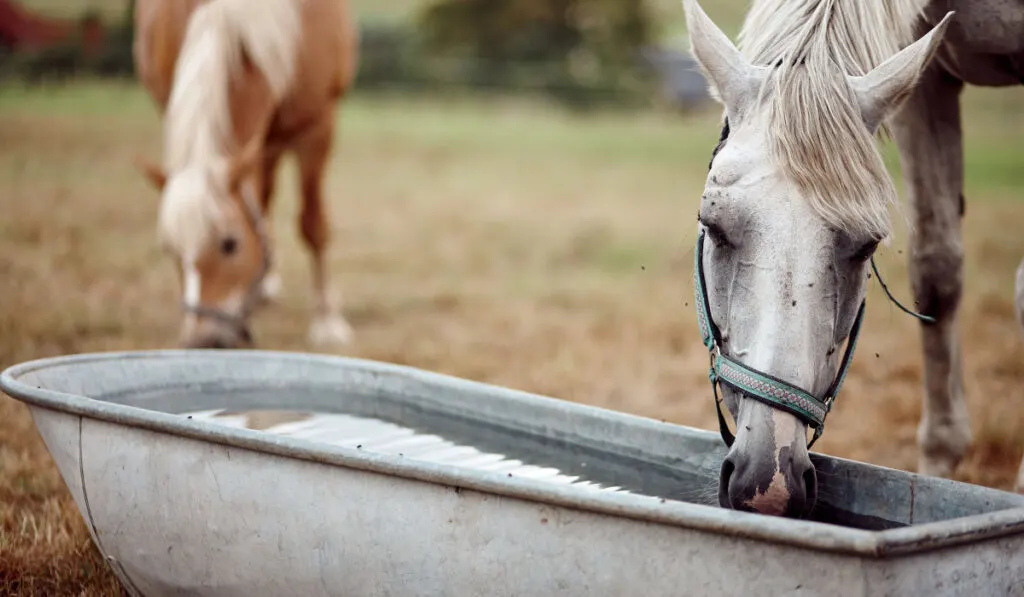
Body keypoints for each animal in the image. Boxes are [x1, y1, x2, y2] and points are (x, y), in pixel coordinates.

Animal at [132, 0, 358, 348]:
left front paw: (327, 322)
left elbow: (313, 225)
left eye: (230, 244)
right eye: (169, 250)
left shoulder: (317, 124)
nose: (204, 341)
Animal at [679, 0, 1024, 518]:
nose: (769, 486)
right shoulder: (927, 86)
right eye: (713, 226)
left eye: (867, 246)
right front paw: (939, 461)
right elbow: (936, 276)